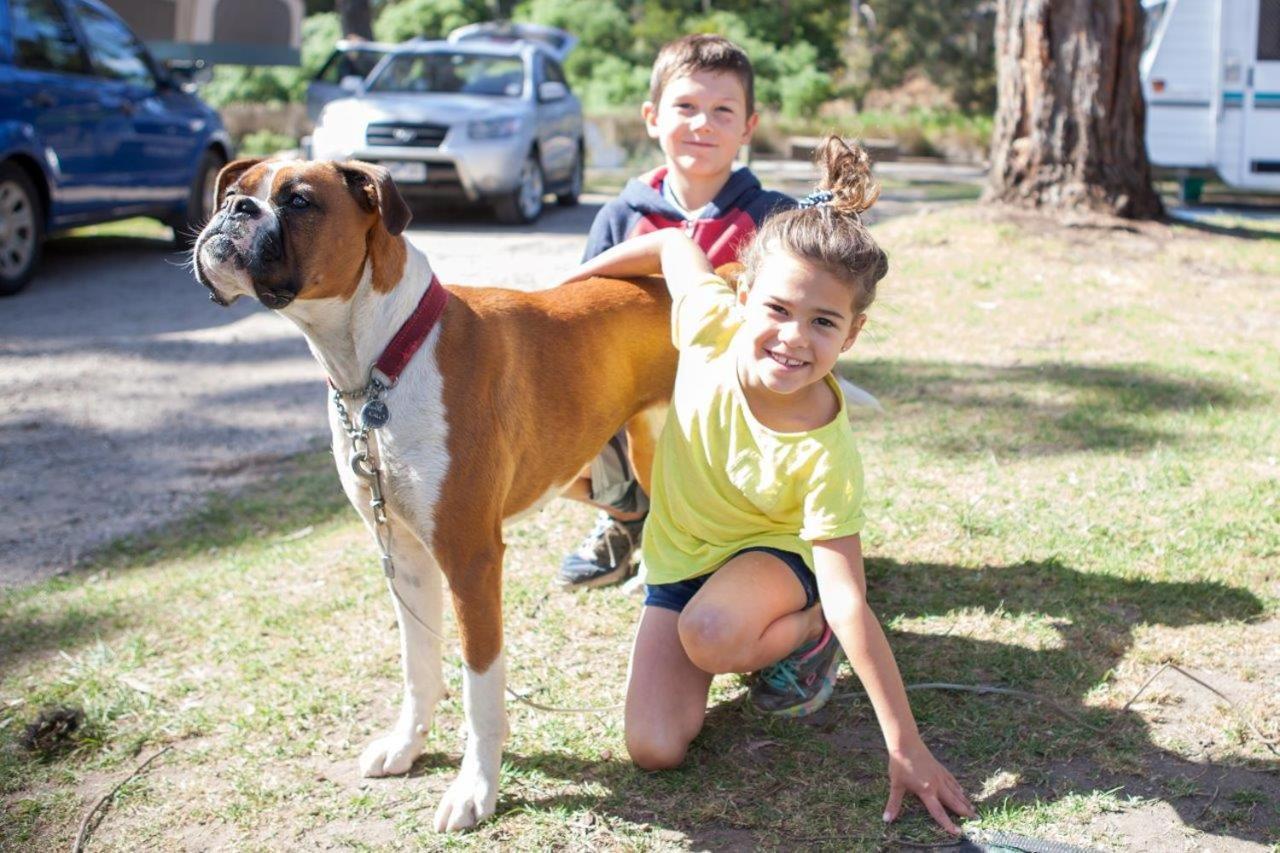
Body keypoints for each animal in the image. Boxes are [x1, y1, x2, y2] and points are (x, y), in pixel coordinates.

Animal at [190, 156, 680, 824]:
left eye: (298, 202)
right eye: (232, 194)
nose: (234, 213)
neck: (380, 366)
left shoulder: (470, 560)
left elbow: (480, 686)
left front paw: (476, 789)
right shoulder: (403, 553)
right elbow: (418, 662)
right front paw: (407, 745)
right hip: (646, 443)